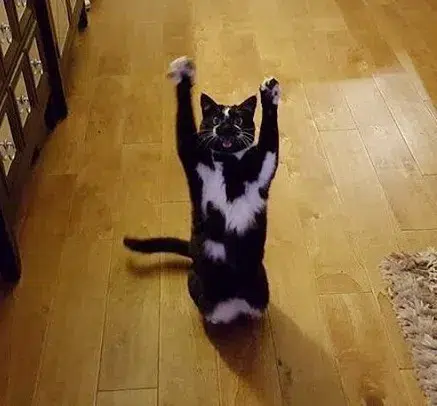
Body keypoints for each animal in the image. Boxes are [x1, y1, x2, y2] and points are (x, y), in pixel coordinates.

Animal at [124, 56, 280, 324]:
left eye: (238, 120)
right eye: (216, 120)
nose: (225, 127)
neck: (230, 165)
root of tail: (233, 307)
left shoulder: (263, 168)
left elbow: (271, 140)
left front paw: (270, 94)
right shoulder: (191, 153)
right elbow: (185, 126)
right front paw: (184, 75)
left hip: (262, 282)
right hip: (195, 281)